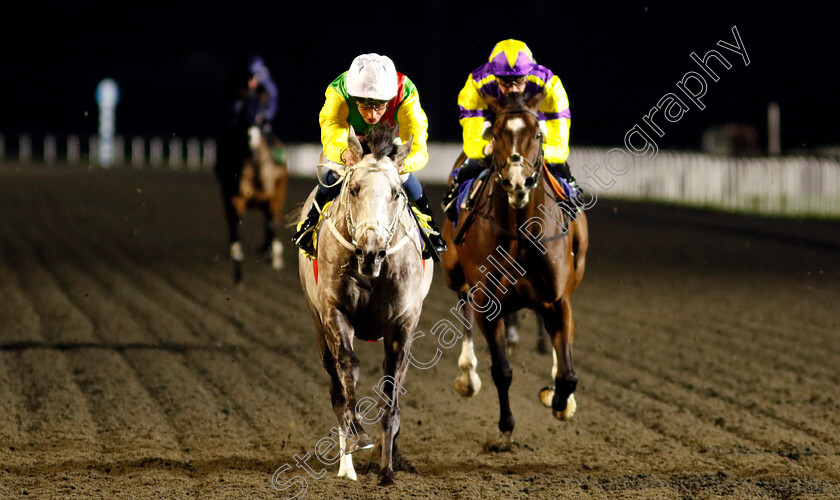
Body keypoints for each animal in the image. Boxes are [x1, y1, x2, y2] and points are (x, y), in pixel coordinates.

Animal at [215, 124, 288, 282]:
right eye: (243, 124)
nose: (252, 146)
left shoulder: (272, 197)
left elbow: (271, 222)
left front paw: (274, 256)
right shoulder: (236, 198)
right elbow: (236, 224)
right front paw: (237, 270)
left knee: (271, 221)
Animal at [440, 90, 592, 450]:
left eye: (537, 135)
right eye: (495, 134)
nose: (517, 181)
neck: (522, 236)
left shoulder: (558, 299)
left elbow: (568, 375)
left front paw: (559, 401)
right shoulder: (487, 304)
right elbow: (502, 370)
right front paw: (506, 426)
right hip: (453, 272)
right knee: (462, 302)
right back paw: (467, 375)